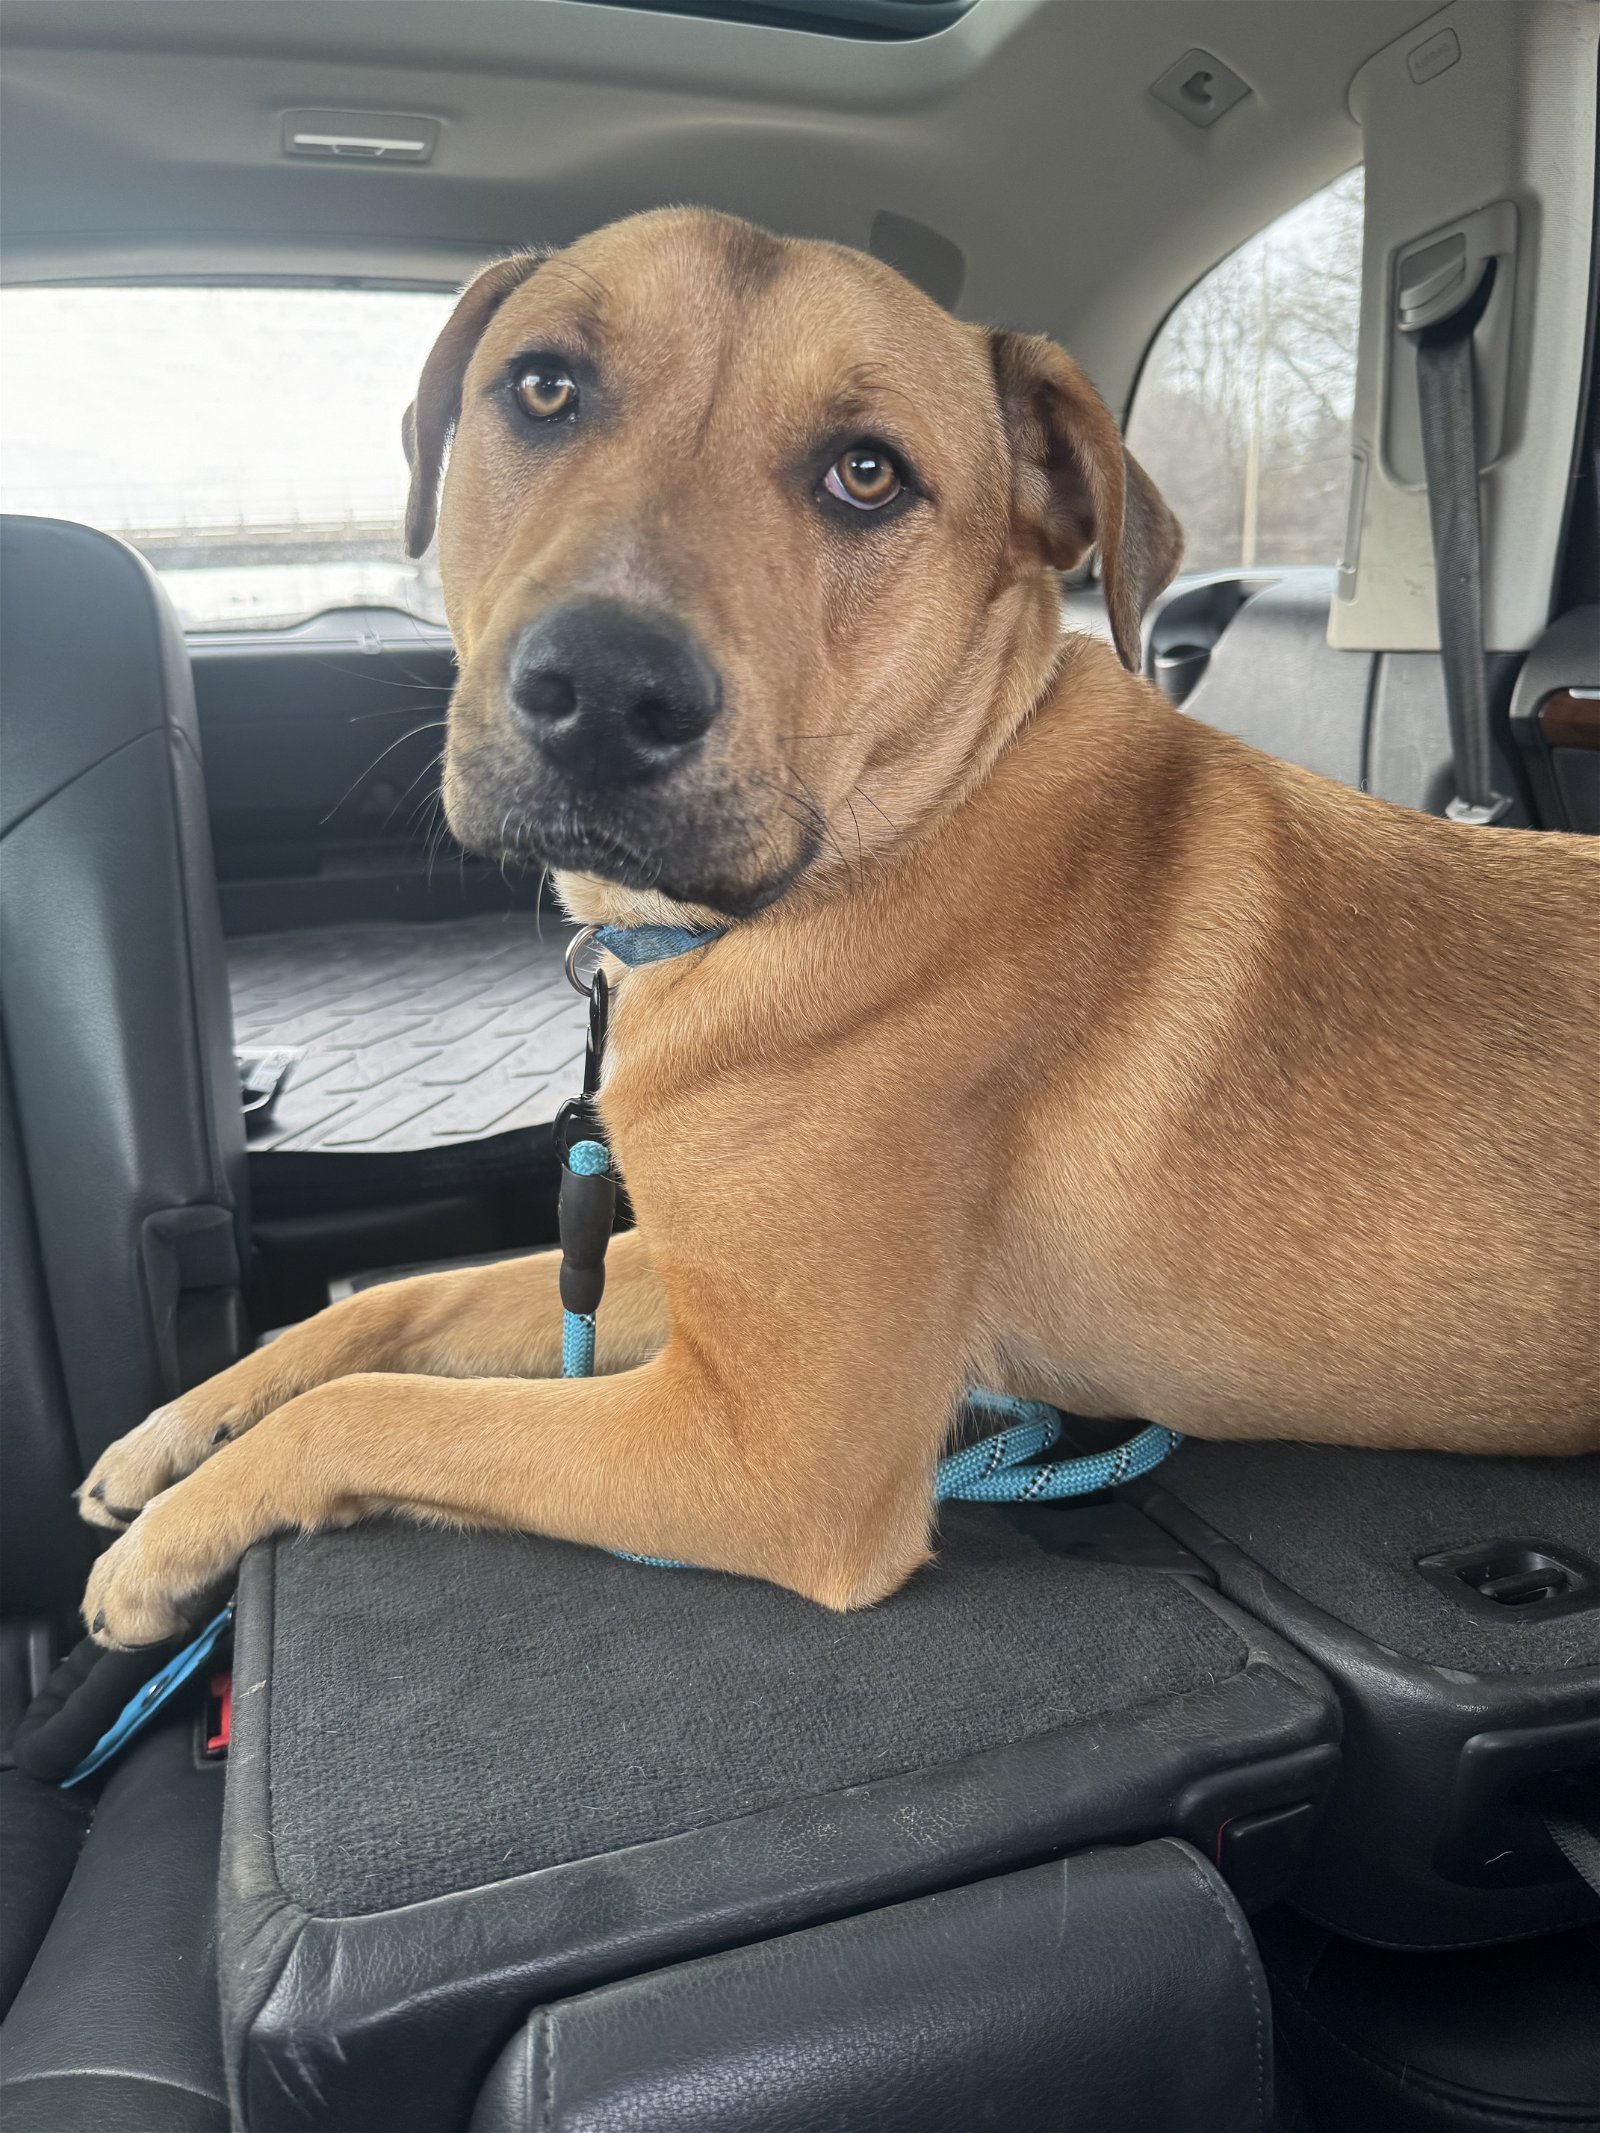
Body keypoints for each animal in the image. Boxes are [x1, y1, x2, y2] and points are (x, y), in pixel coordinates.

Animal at [81, 212, 1600, 1646]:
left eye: (867, 474)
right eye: (545, 387)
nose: (604, 694)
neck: (903, 829)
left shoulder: (772, 1449)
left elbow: (379, 1409)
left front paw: (170, 1539)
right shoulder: (688, 1282)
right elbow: (395, 1309)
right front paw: (176, 1431)